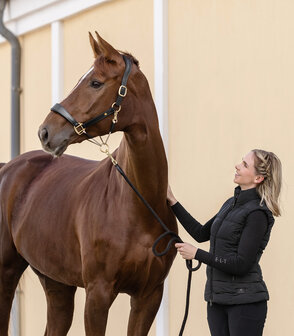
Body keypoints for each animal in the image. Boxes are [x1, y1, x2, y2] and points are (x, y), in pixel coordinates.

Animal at [0, 32, 177, 336]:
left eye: (95, 82)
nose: (45, 132)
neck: (137, 205)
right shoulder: (98, 293)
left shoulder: (149, 295)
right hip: (6, 273)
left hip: (56, 283)